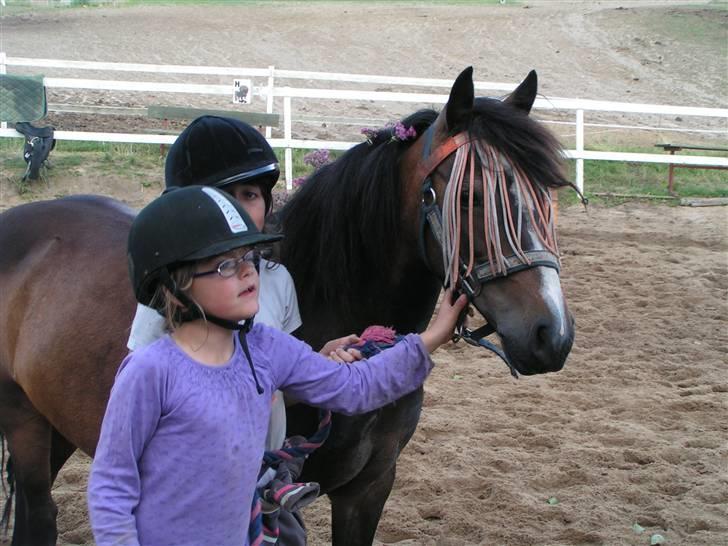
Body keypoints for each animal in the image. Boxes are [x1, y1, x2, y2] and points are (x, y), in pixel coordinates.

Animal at [0, 67, 575, 545]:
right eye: (472, 197)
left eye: (546, 193)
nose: (552, 334)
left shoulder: (368, 490)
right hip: (23, 419)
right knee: (38, 517)